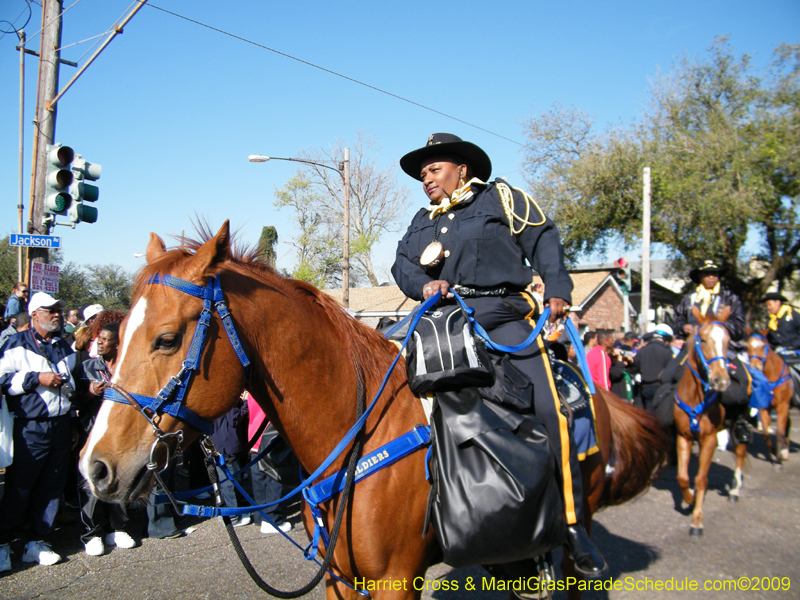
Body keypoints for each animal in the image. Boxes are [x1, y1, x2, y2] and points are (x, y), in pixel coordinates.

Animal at [81, 223, 668, 596]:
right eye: (118, 336)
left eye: (166, 339)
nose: (95, 466)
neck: (352, 432)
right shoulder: (342, 579)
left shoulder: (395, 579)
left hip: (572, 532)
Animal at [744, 336, 792, 466]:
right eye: (747, 346)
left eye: (763, 346)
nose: (755, 366)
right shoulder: (765, 408)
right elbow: (765, 434)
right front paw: (775, 452)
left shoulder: (783, 407)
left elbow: (779, 433)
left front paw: (779, 460)